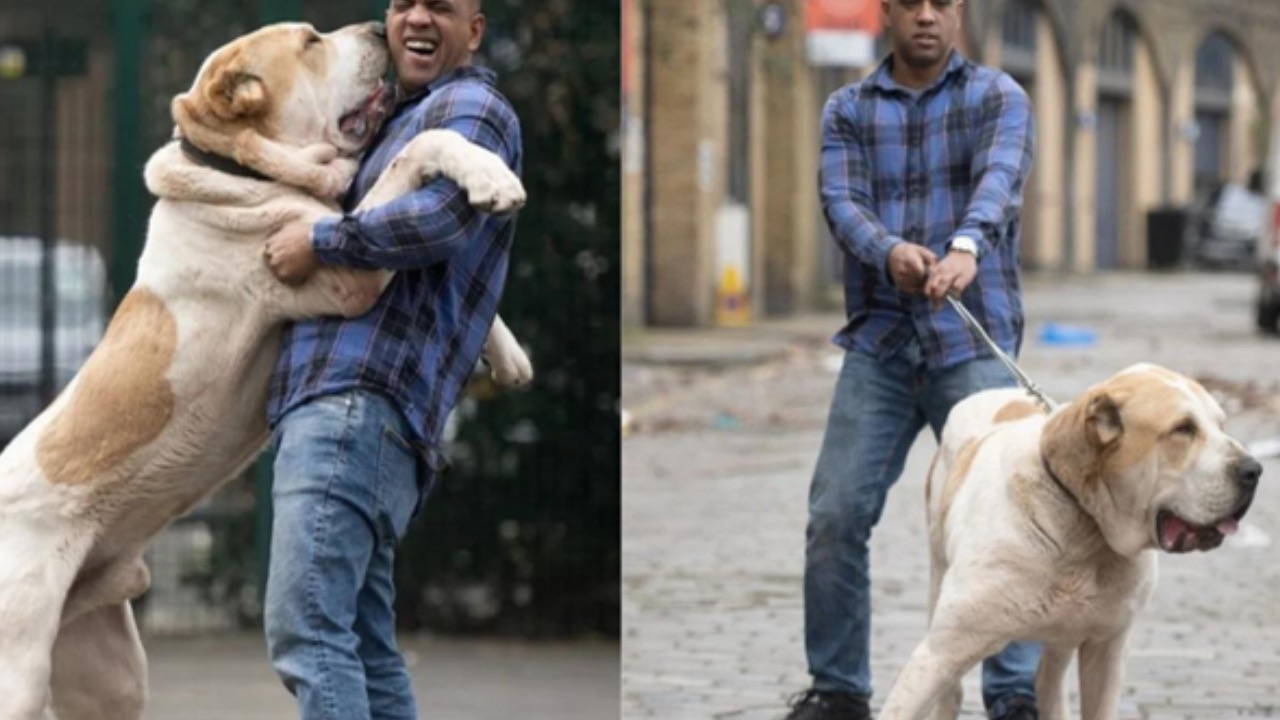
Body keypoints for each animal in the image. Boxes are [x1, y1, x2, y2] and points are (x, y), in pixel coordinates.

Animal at [0, 19, 529, 712]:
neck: (239, 168)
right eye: (310, 41)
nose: (374, 27)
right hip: (19, 664)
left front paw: (509, 352)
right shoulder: (344, 278)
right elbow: (420, 149)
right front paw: (492, 177)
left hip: (111, 676)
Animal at [880, 363, 1259, 717]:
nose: (1254, 470)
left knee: (1046, 680)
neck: (1083, 530)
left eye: (1221, 425)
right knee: (953, 693)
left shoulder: (1106, 649)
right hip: (937, 574)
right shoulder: (939, 654)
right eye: (1183, 429)